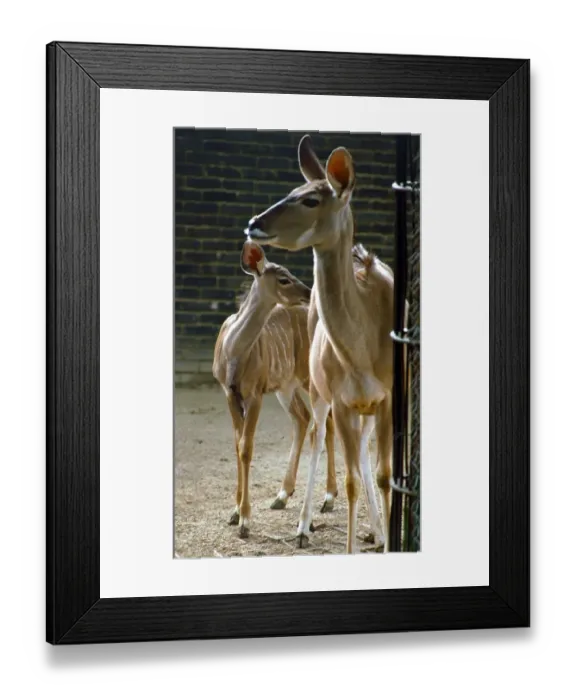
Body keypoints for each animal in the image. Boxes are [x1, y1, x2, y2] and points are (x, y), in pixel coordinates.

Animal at [212, 239, 337, 540]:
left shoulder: (255, 393)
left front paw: (245, 520)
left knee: (326, 423)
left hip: (309, 379)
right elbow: (237, 444)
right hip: (286, 386)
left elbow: (247, 447)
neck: (233, 353)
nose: (309, 292)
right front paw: (235, 512)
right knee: (303, 418)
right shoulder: (229, 393)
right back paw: (282, 495)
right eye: (283, 278)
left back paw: (328, 499)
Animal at [244, 135, 398, 554]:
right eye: (291, 190)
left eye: (311, 199)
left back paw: (376, 531)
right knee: (316, 435)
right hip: (318, 391)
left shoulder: (388, 398)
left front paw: (385, 536)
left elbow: (384, 474)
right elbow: (350, 481)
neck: (362, 350)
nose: (254, 223)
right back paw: (302, 524)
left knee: (360, 451)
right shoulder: (341, 399)